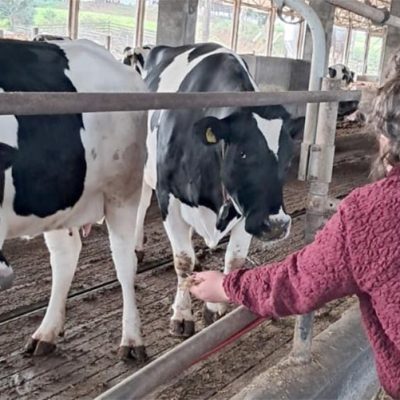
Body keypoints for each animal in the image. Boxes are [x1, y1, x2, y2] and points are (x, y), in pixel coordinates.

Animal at [0, 39, 148, 360]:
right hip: (57, 199)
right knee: (65, 255)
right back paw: (46, 333)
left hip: (122, 191)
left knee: (124, 260)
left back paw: (132, 340)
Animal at [133, 43, 302, 334]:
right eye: (243, 153)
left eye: (289, 157)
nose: (276, 225)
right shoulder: (169, 199)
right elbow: (182, 260)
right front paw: (181, 315)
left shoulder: (245, 211)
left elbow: (234, 261)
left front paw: (216, 306)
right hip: (143, 171)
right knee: (141, 205)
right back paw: (137, 249)